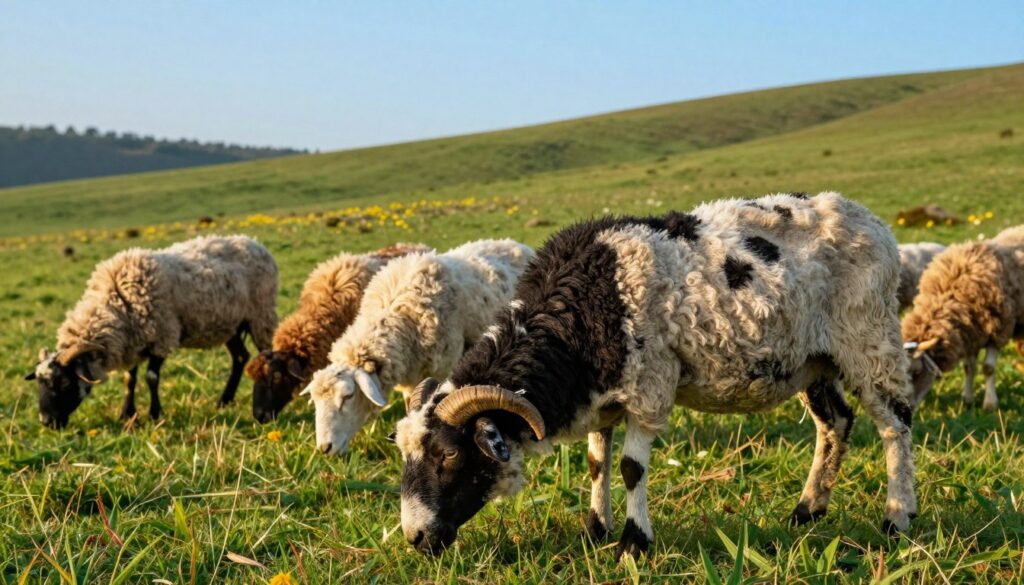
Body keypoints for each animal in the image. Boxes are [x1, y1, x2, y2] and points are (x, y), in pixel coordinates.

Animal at [25, 235, 278, 428]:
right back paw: (224, 401)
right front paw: (127, 414)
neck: (119, 300)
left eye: (65, 383)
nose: (46, 421)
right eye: (38, 383)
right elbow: (129, 379)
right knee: (240, 357)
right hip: (230, 324)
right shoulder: (134, 342)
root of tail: (255, 242)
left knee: (265, 355)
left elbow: (151, 377)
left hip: (260, 315)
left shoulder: (162, 337)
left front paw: (155, 414)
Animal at [395, 192, 917, 559]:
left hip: (869, 336)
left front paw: (633, 542)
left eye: (447, 455)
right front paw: (594, 531)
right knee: (836, 423)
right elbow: (597, 463)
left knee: (895, 423)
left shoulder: (649, 387)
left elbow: (631, 468)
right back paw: (808, 511)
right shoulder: (602, 397)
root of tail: (868, 218)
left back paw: (897, 517)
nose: (416, 538)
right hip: (813, 359)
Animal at [901, 225, 1024, 410]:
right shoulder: (971, 333)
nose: (904, 408)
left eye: (916, 372)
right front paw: (967, 399)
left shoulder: (999, 328)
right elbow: (968, 367)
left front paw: (990, 403)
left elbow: (988, 368)